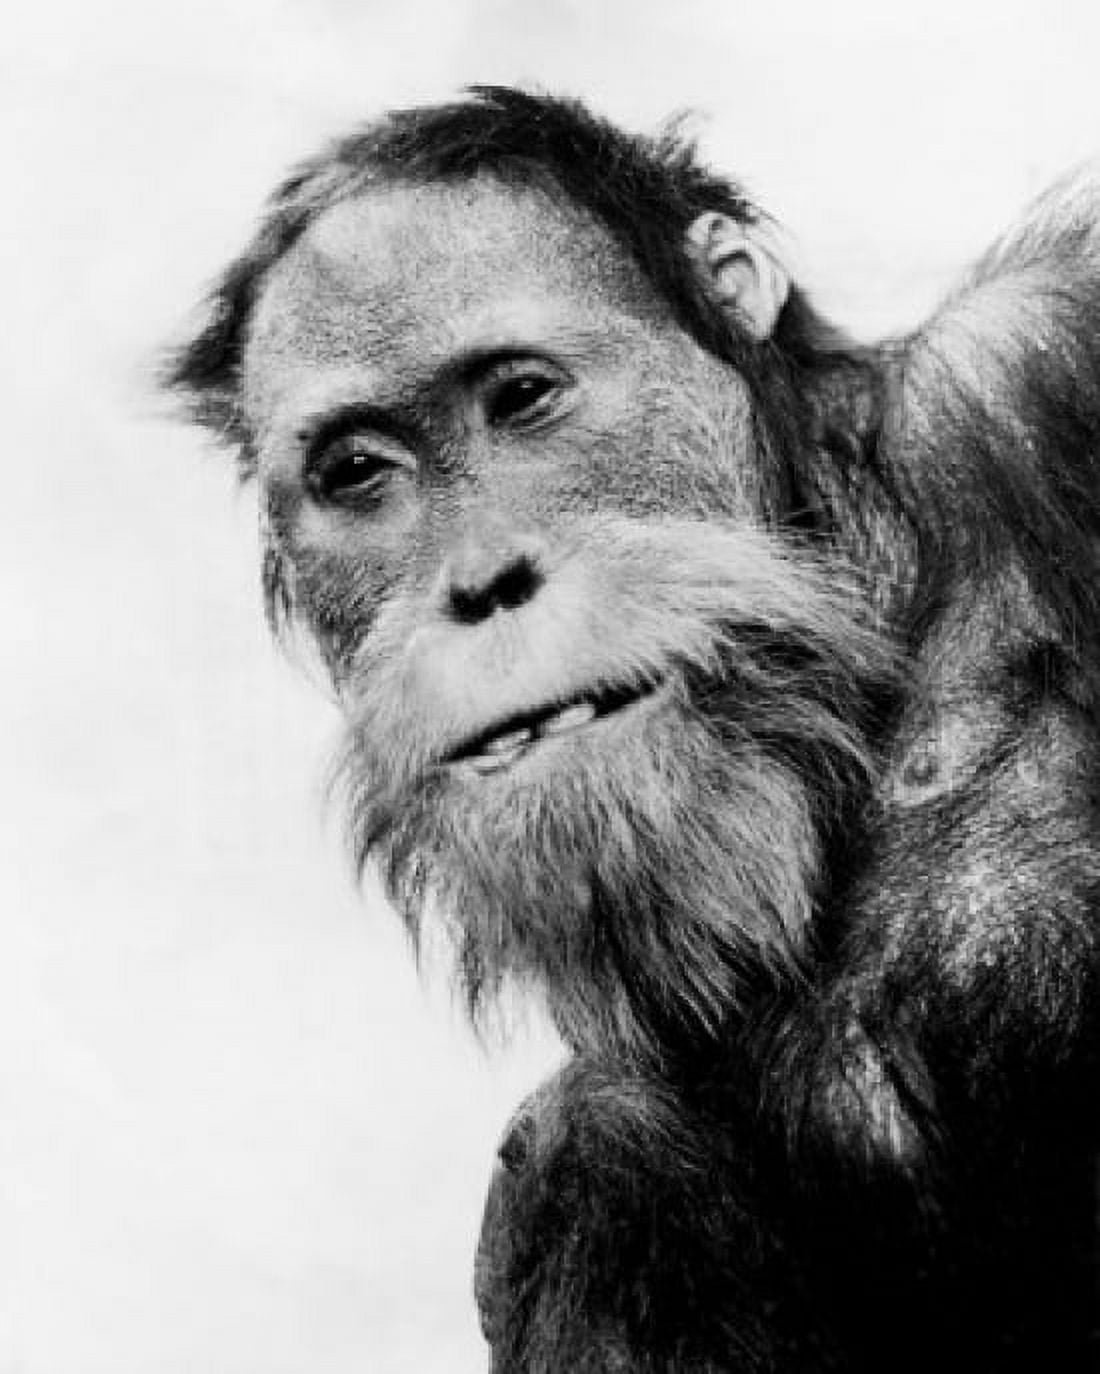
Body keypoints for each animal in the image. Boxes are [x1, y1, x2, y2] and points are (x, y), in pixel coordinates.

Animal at [165, 87, 1100, 1371]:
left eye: (519, 398)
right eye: (358, 471)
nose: (483, 584)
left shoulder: (1036, 353)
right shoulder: (561, 1194)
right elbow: (589, 1148)